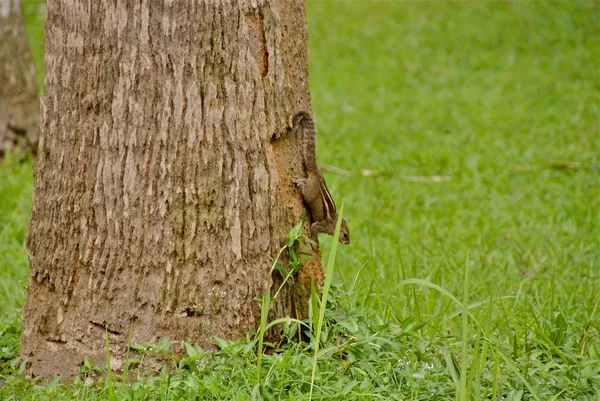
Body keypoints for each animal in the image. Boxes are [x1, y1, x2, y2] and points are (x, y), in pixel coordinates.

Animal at [288, 111, 350, 245]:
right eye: (345, 234)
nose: (348, 243)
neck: (334, 223)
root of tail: (315, 172)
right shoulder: (321, 225)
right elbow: (314, 228)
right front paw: (314, 242)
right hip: (310, 191)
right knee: (305, 186)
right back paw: (299, 181)